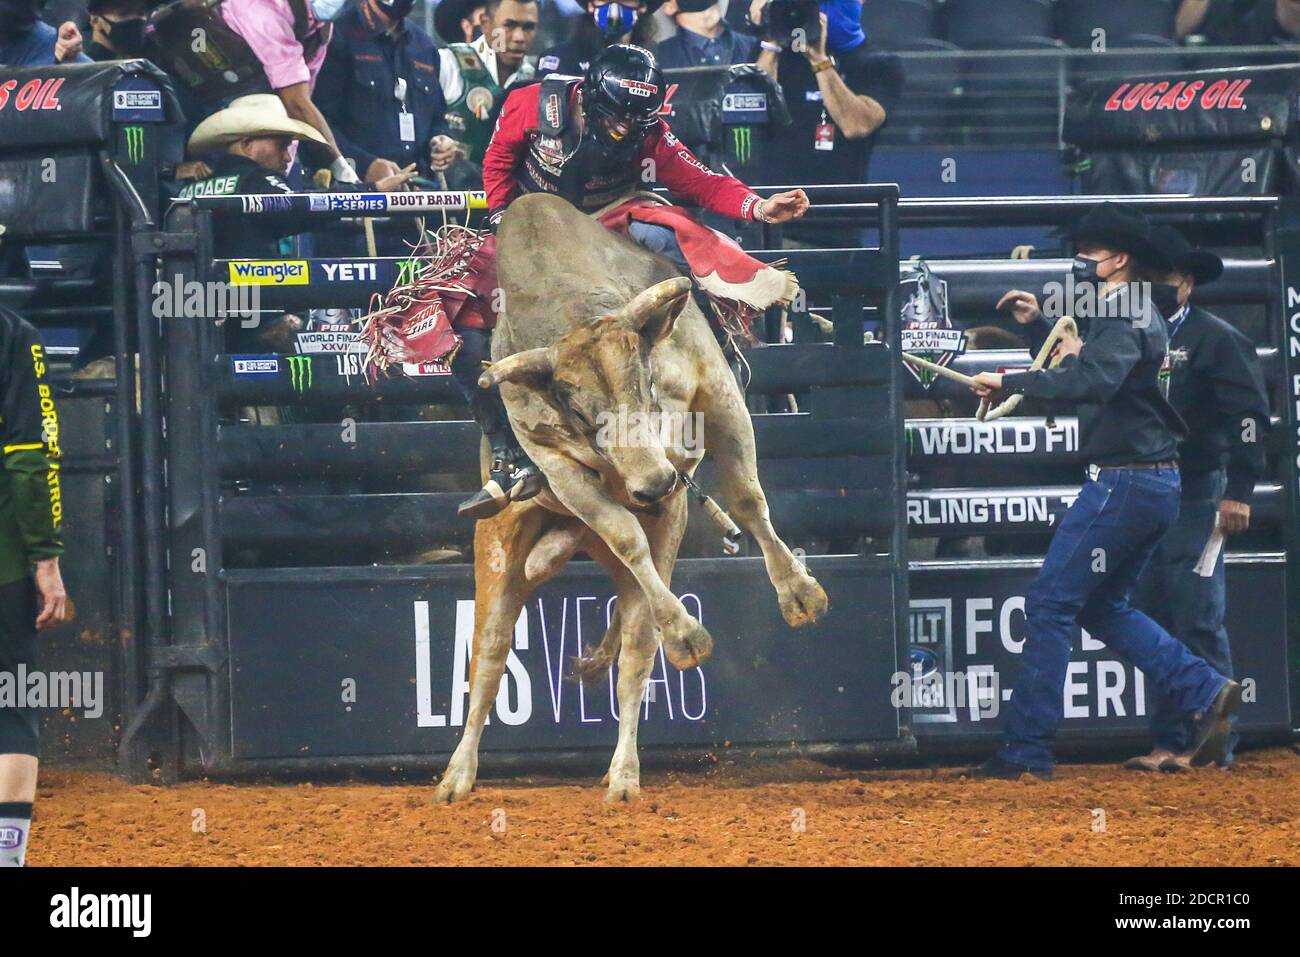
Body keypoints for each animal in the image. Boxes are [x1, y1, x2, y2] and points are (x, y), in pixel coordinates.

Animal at [433, 193, 829, 804]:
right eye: (580, 411)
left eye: (641, 380)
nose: (652, 485)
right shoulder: (560, 469)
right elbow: (625, 537)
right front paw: (687, 633)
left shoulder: (715, 390)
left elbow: (745, 498)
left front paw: (800, 595)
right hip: (501, 546)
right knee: (492, 654)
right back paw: (459, 774)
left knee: (634, 633)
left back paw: (619, 763)